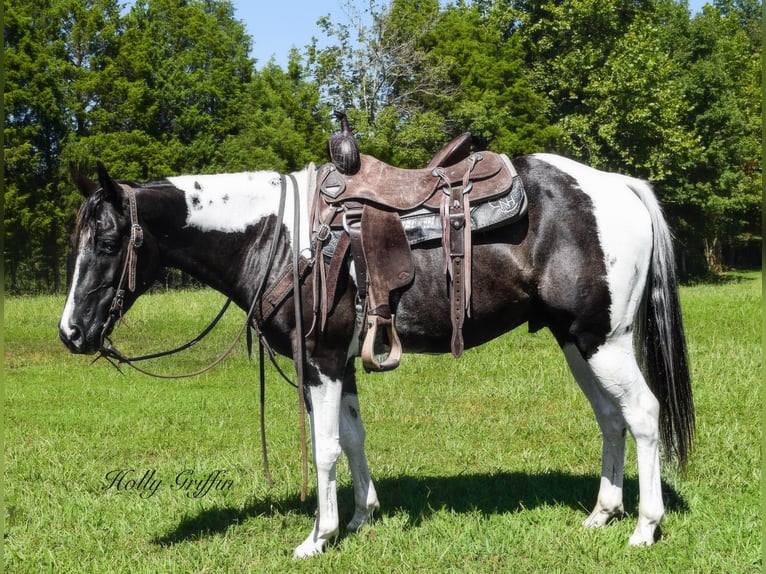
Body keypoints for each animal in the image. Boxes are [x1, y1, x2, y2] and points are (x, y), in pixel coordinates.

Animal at [60, 153, 696, 560]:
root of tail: (619, 186)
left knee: (643, 414)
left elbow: (323, 450)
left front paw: (317, 538)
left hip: (604, 341)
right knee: (611, 419)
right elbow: (353, 438)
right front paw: (363, 515)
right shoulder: (341, 364)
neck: (276, 238)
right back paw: (602, 514)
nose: (71, 332)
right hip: (576, 342)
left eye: (110, 240)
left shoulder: (318, 360)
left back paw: (645, 527)